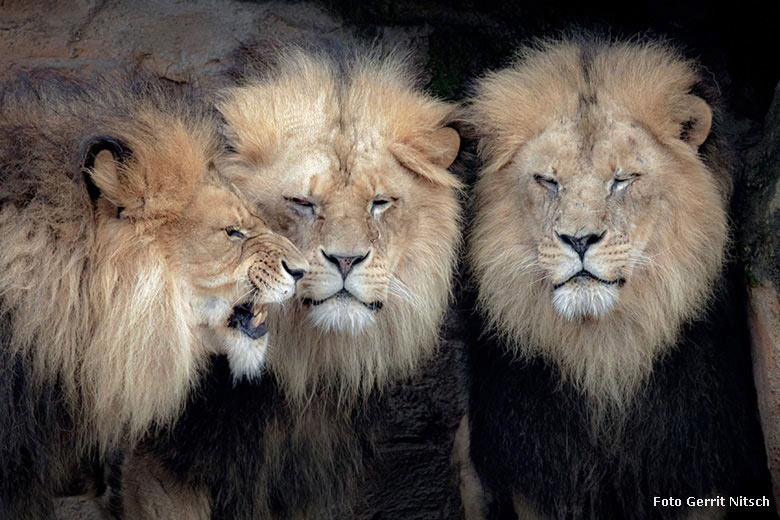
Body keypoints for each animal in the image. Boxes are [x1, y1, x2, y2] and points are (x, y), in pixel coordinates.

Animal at [458, 36, 772, 520]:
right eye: (548, 181)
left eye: (622, 180)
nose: (579, 239)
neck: (604, 353)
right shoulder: (538, 470)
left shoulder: (699, 454)